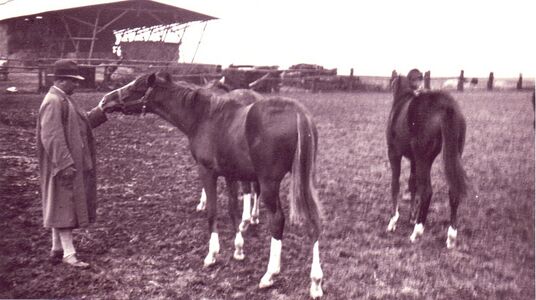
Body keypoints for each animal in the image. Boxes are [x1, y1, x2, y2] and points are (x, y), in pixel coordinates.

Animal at [101, 71, 324, 298]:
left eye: (135, 88)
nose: (105, 101)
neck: (204, 117)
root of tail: (299, 114)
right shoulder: (230, 174)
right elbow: (233, 210)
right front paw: (238, 249)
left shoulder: (207, 171)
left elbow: (213, 211)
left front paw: (212, 254)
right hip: (304, 180)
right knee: (314, 221)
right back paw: (315, 282)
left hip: (270, 183)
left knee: (278, 220)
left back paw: (270, 275)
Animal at [388, 73, 466, 248]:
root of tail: (447, 106)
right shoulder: (413, 160)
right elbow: (412, 184)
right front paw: (412, 216)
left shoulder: (394, 154)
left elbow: (396, 184)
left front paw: (393, 221)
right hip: (448, 156)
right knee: (453, 191)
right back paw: (451, 237)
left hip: (423, 159)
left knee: (427, 191)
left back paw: (417, 232)